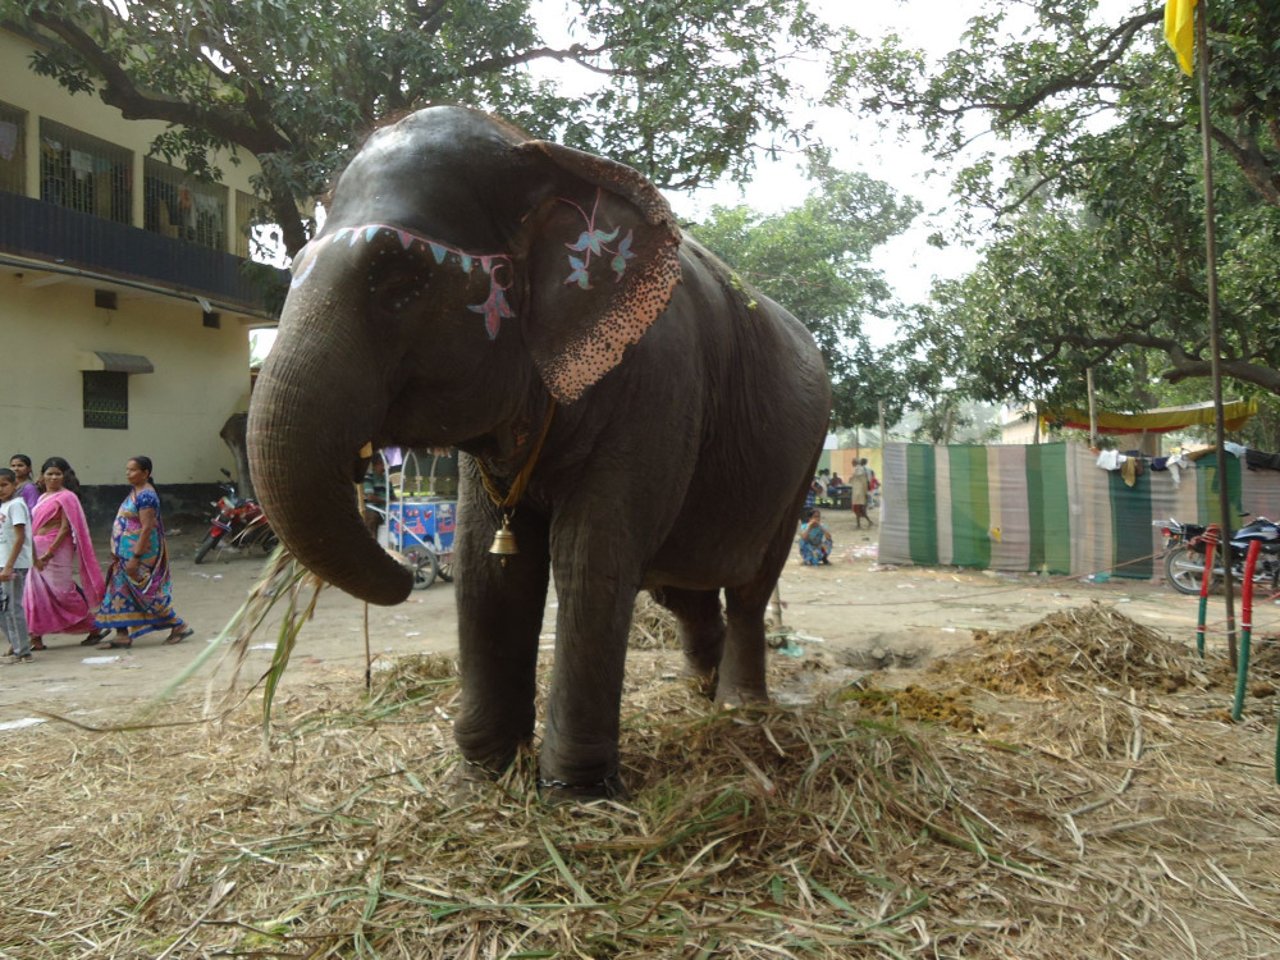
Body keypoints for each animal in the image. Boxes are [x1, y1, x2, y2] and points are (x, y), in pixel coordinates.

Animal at [248, 104, 829, 798]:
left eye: (400, 279)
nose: (405, 575)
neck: (544, 154)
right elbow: (486, 560)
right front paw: (483, 776)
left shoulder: (658, 384)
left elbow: (590, 555)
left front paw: (573, 794)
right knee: (680, 587)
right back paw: (697, 690)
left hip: (802, 462)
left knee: (748, 585)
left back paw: (740, 708)